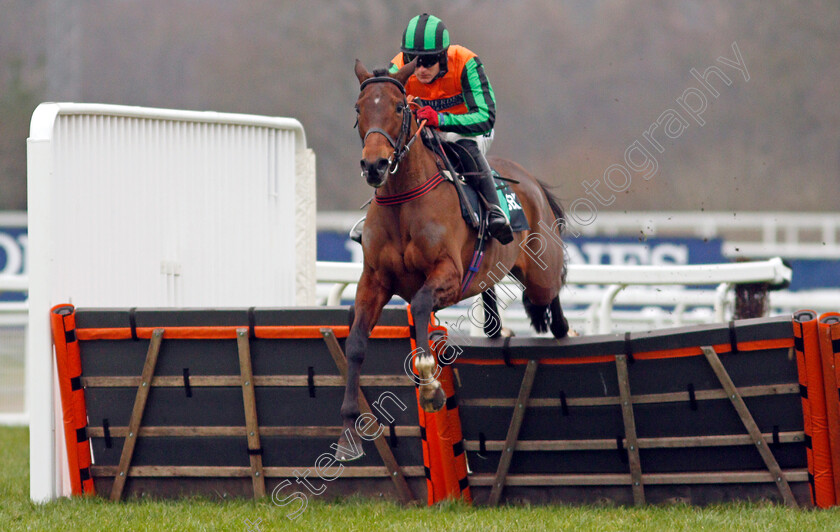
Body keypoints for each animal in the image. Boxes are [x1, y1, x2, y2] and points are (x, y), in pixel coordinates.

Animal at [336, 59, 572, 462]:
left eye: (399, 107)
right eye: (358, 108)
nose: (374, 166)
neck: (404, 199)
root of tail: (530, 181)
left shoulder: (448, 273)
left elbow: (419, 306)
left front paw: (430, 385)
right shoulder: (374, 280)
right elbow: (356, 343)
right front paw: (349, 430)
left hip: (541, 270)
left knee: (550, 293)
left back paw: (559, 325)